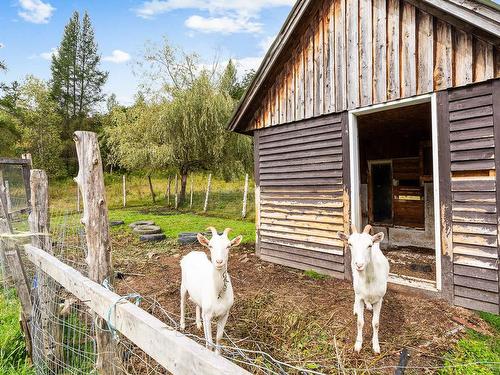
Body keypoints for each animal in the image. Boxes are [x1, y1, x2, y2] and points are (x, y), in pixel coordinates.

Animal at [180, 226, 242, 356]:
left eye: (228, 246)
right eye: (210, 245)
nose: (219, 262)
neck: (218, 293)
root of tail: (193, 252)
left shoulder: (225, 313)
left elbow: (218, 337)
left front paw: (217, 354)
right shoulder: (208, 315)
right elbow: (209, 341)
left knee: (197, 304)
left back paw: (198, 323)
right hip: (183, 284)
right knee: (182, 301)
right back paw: (182, 324)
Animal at [336, 225, 390, 354]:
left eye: (369, 245)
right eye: (350, 244)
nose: (359, 265)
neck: (369, 279)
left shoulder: (379, 299)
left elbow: (376, 323)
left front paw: (376, 346)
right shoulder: (360, 296)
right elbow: (360, 322)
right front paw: (358, 345)